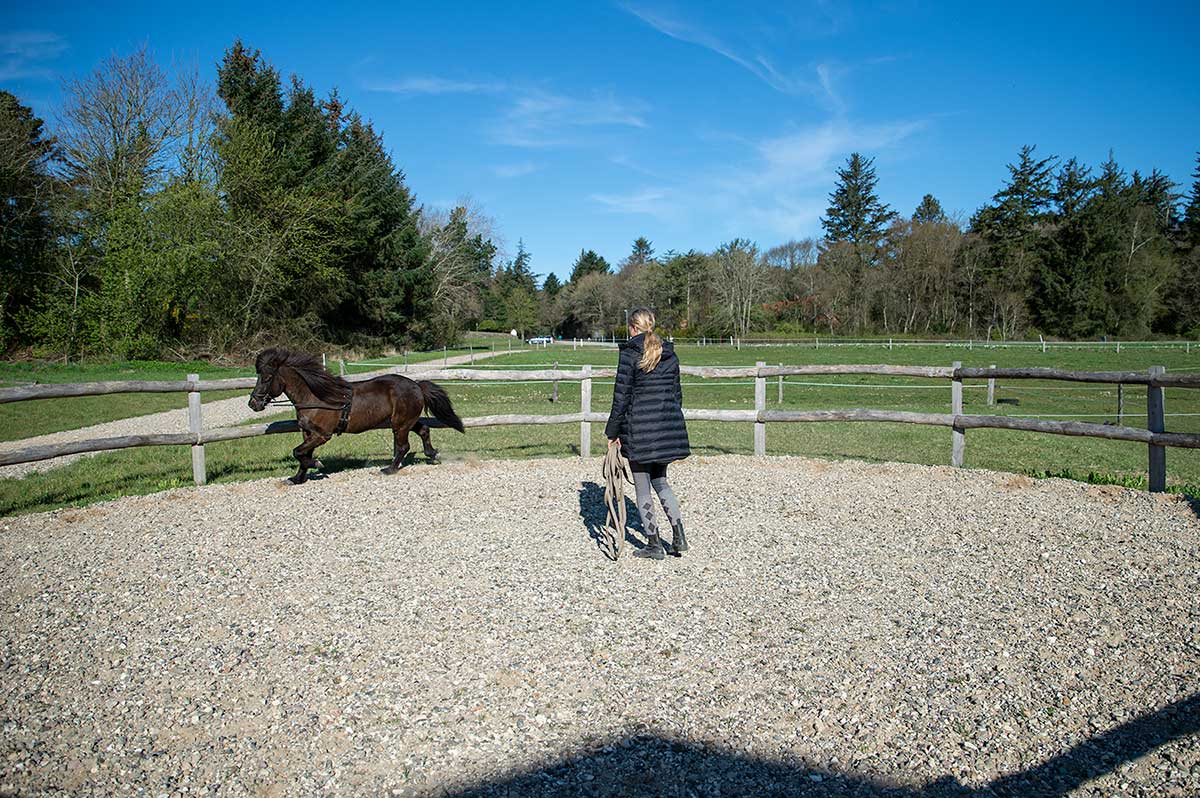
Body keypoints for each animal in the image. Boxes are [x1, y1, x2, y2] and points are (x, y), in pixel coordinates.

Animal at [248, 348, 463, 482]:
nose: (253, 403)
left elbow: (298, 452)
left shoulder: (322, 435)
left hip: (400, 423)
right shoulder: (307, 433)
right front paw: (297, 478)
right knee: (424, 430)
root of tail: (417, 385)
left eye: (267, 378)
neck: (314, 397)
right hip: (406, 420)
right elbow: (302, 454)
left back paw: (389, 469)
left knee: (403, 446)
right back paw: (432, 454)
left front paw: (317, 464)